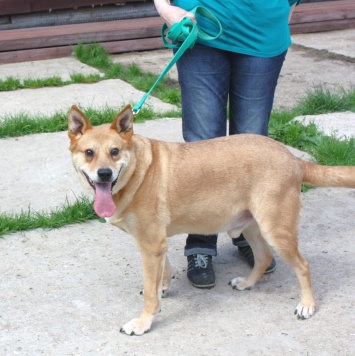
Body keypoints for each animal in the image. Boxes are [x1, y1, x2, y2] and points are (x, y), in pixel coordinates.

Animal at [67, 104, 355, 336]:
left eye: (115, 151)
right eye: (89, 152)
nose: (104, 174)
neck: (138, 169)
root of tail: (293, 158)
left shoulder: (151, 245)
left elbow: (149, 293)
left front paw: (143, 322)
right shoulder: (157, 245)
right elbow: (163, 273)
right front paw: (162, 291)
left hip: (276, 229)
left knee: (302, 265)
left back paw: (307, 305)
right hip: (251, 226)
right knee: (264, 257)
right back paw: (247, 283)